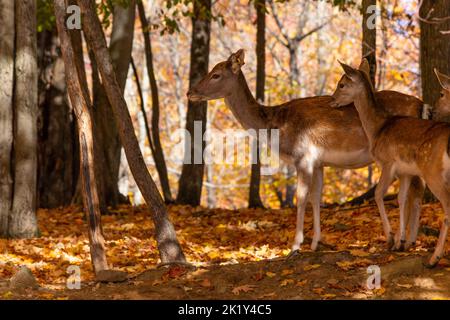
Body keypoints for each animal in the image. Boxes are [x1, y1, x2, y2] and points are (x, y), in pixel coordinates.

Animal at [187, 49, 426, 255]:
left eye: (216, 74)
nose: (190, 92)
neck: (276, 126)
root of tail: (422, 106)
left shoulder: (303, 157)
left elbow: (301, 198)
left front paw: (295, 246)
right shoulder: (318, 163)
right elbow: (316, 197)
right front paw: (315, 243)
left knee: (417, 189)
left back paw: (406, 240)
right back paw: (409, 239)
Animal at [330, 60, 450, 268]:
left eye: (342, 84)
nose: (331, 100)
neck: (377, 129)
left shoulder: (387, 163)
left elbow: (378, 194)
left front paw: (390, 239)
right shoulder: (405, 172)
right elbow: (401, 198)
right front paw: (401, 241)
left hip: (433, 172)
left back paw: (434, 258)